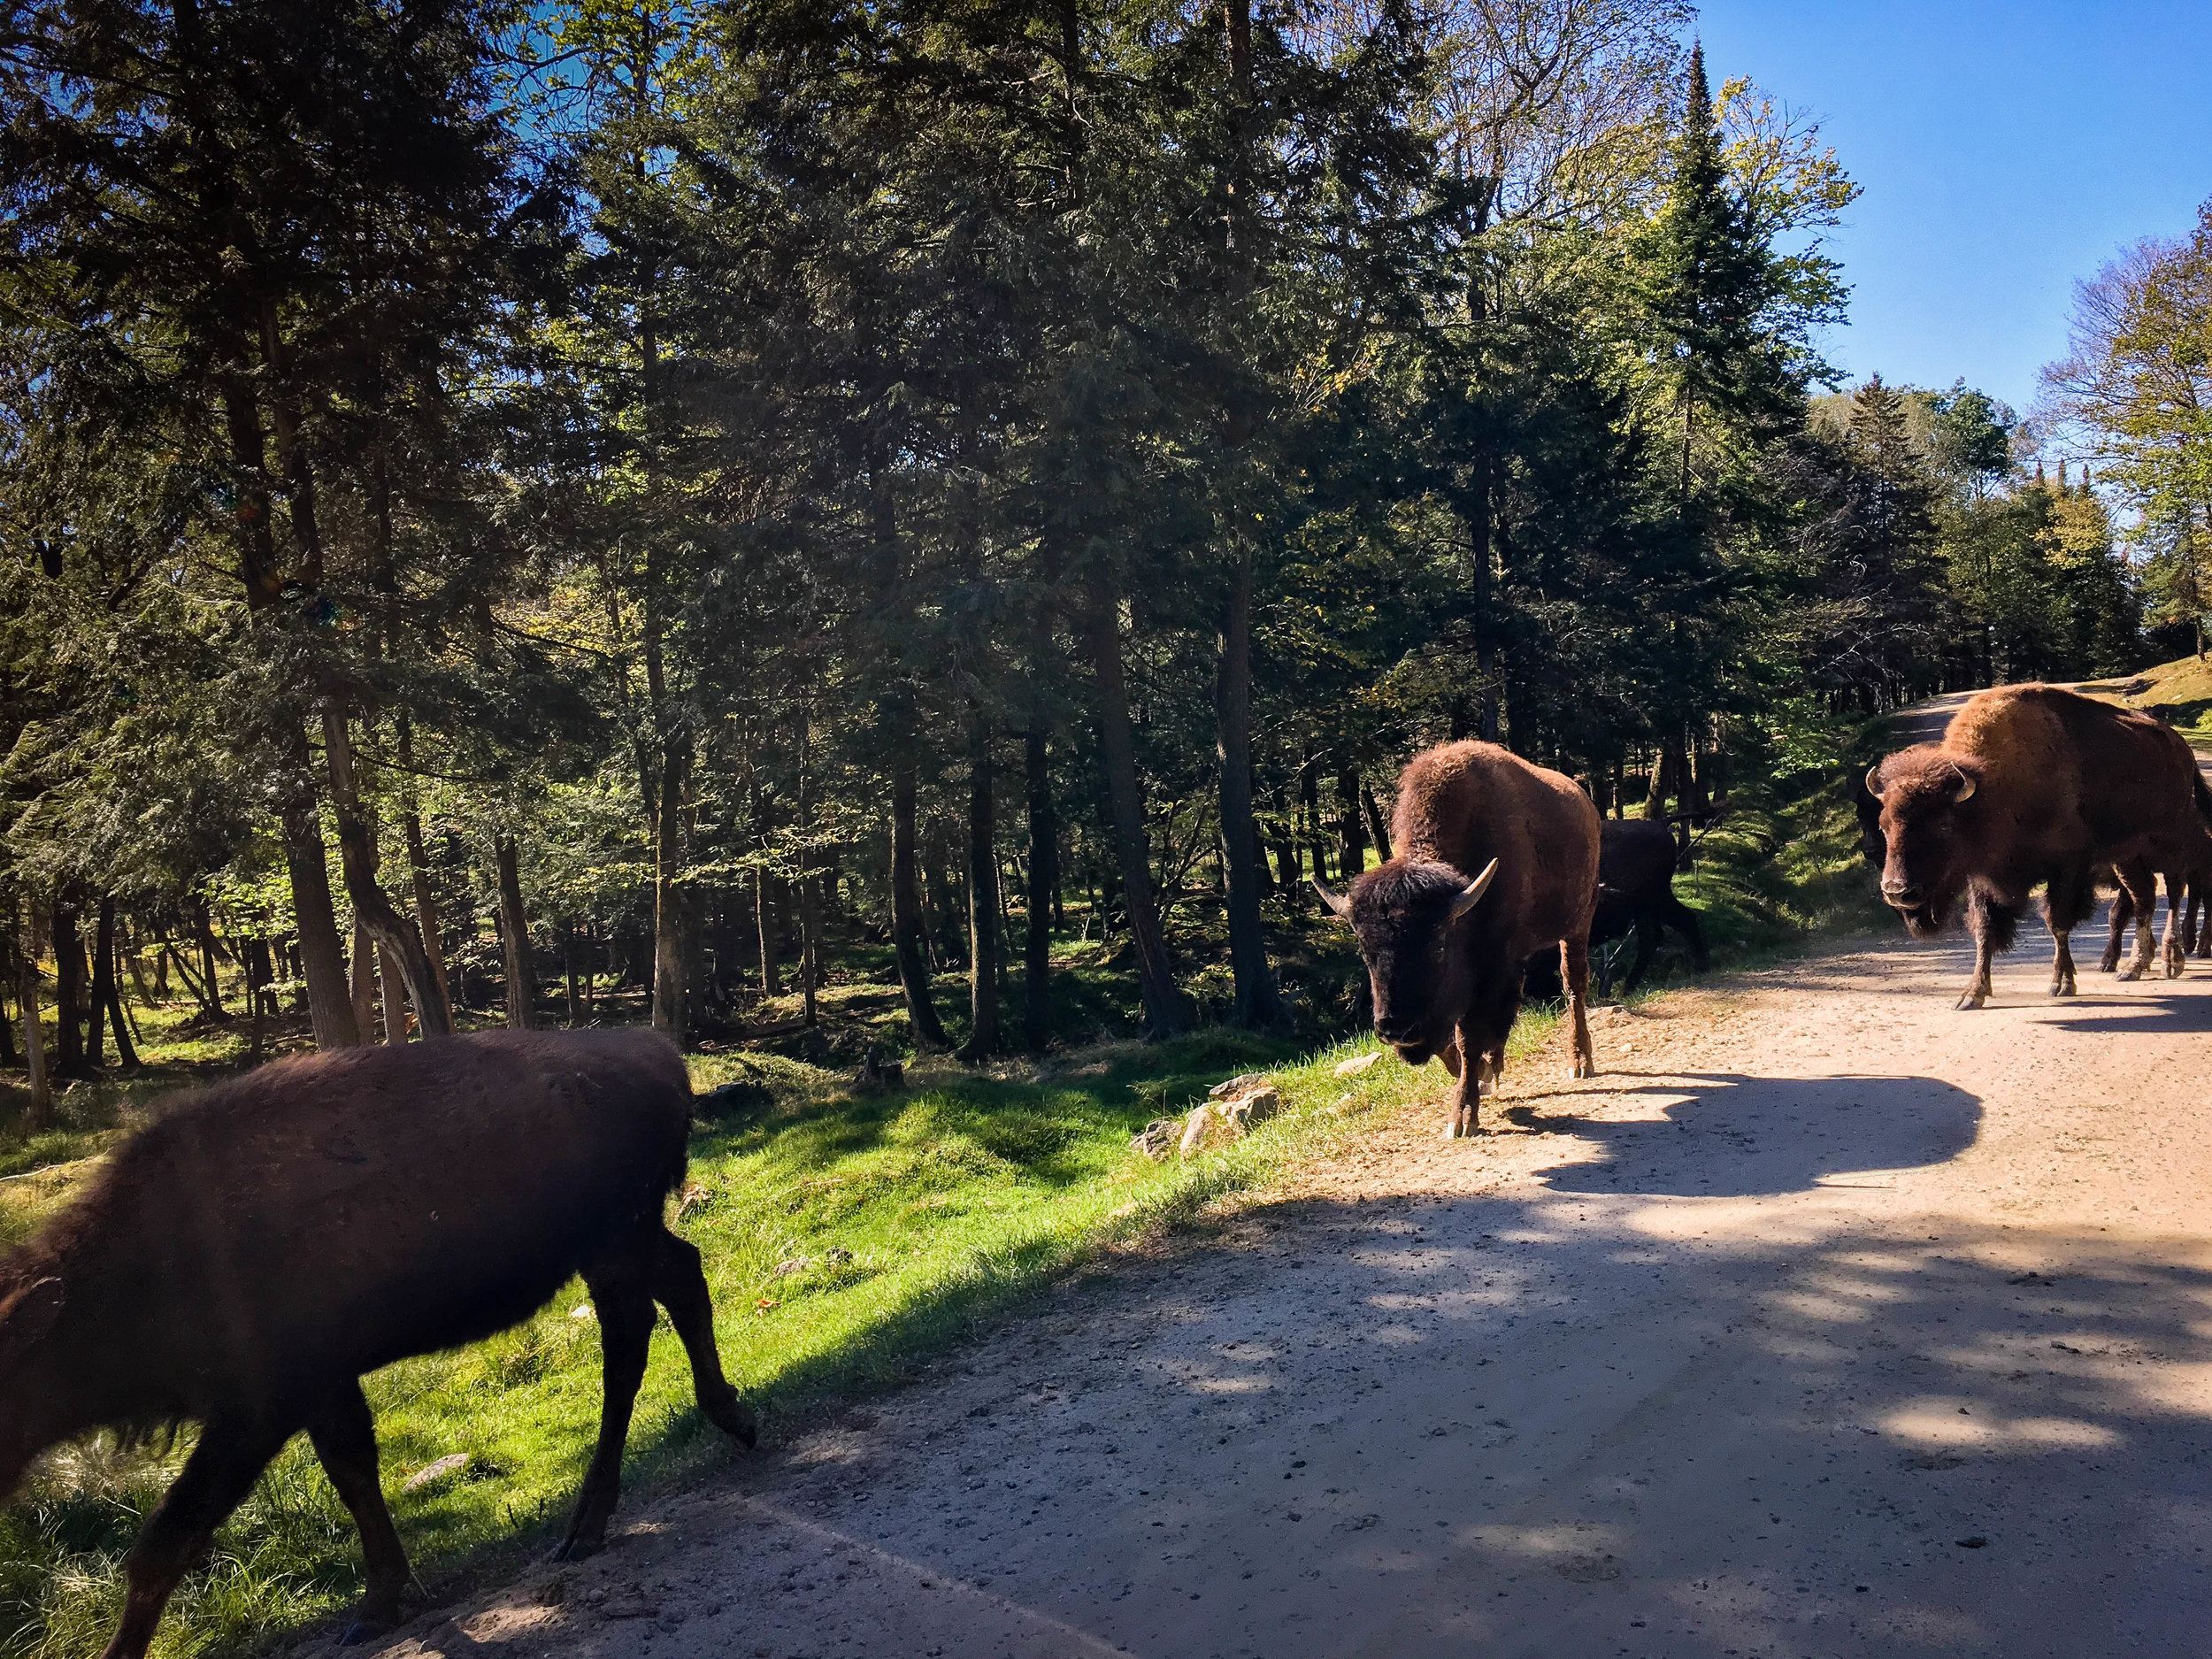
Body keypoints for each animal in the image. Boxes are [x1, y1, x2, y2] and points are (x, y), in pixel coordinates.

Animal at [0, 1035, 752, 1655]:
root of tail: (663, 1057)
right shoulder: (322, 1388)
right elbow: (353, 1472)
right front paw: (380, 1602)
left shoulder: (262, 1405)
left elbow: (167, 1537)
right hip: (624, 1246)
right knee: (681, 1282)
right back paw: (727, 1423)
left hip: (614, 1246)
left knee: (628, 1347)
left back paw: (589, 1521)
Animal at [1301, 743, 1601, 1141]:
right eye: (1365, 952)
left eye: (1438, 946)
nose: (1396, 1030)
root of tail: (1586, 802)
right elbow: (1452, 1042)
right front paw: (1484, 1077)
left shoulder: (1491, 966)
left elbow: (1467, 1038)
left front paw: (1462, 1116)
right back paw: (1498, 1064)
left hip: (1579, 922)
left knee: (1573, 985)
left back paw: (1579, 1061)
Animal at [1867, 681, 2212, 1009]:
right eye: (1884, 826)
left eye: (1942, 825)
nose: (1897, 892)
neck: (1990, 794)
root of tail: (2182, 748)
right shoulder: (1982, 876)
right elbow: (1984, 930)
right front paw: (1972, 994)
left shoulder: (2065, 868)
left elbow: (2057, 922)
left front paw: (2062, 983)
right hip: (2127, 856)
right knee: (2143, 900)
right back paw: (2133, 967)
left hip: (2169, 840)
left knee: (2176, 889)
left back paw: (2173, 959)